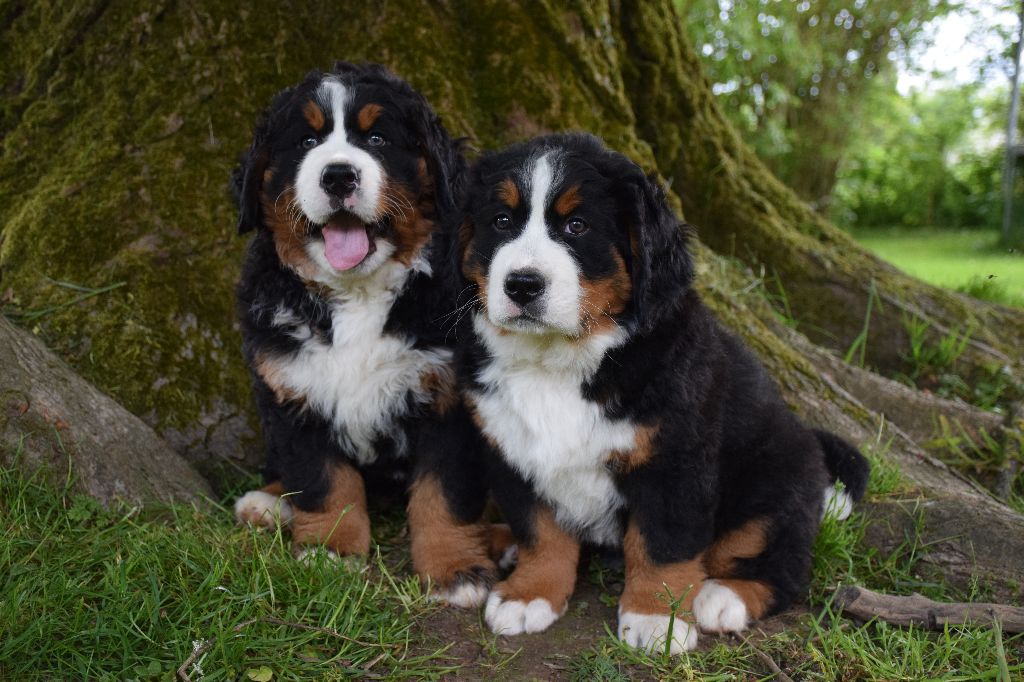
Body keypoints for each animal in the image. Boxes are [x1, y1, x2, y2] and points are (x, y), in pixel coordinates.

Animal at [230, 62, 505, 606]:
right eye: (307, 140)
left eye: (378, 138)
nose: (338, 174)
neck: (355, 294)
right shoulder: (293, 389)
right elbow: (323, 480)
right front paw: (330, 551)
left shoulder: (449, 399)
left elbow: (444, 493)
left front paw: (454, 568)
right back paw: (267, 502)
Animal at [454, 133, 864, 647]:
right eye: (502, 222)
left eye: (577, 225)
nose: (522, 285)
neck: (558, 363)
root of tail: (809, 438)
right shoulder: (512, 450)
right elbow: (539, 531)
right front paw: (530, 594)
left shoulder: (674, 460)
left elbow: (661, 545)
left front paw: (657, 619)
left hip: (774, 481)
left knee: (784, 565)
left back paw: (721, 597)